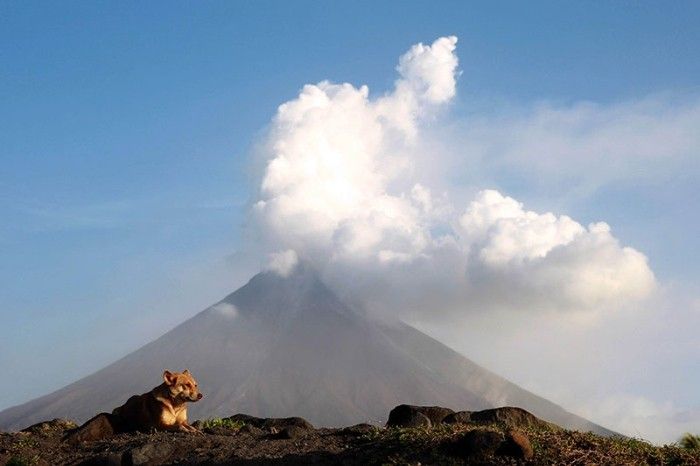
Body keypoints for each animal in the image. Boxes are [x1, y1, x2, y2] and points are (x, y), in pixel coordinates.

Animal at [63, 370, 202, 442]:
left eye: (195, 385)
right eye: (186, 385)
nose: (201, 395)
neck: (175, 405)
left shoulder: (183, 420)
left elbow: (188, 425)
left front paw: (196, 430)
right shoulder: (159, 425)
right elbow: (178, 426)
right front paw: (188, 431)